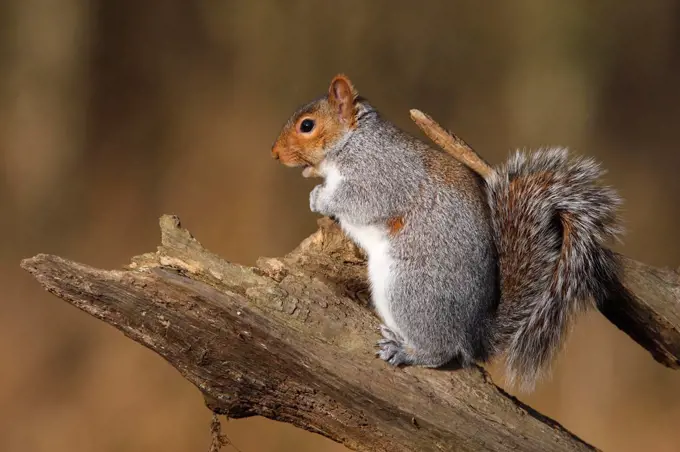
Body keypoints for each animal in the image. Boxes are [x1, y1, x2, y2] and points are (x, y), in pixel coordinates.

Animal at [270, 74, 620, 388]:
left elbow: (360, 201)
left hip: (409, 290)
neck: (355, 142)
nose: (274, 153)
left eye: (307, 126)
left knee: (442, 351)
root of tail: (474, 332)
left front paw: (320, 198)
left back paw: (406, 352)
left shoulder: (382, 178)